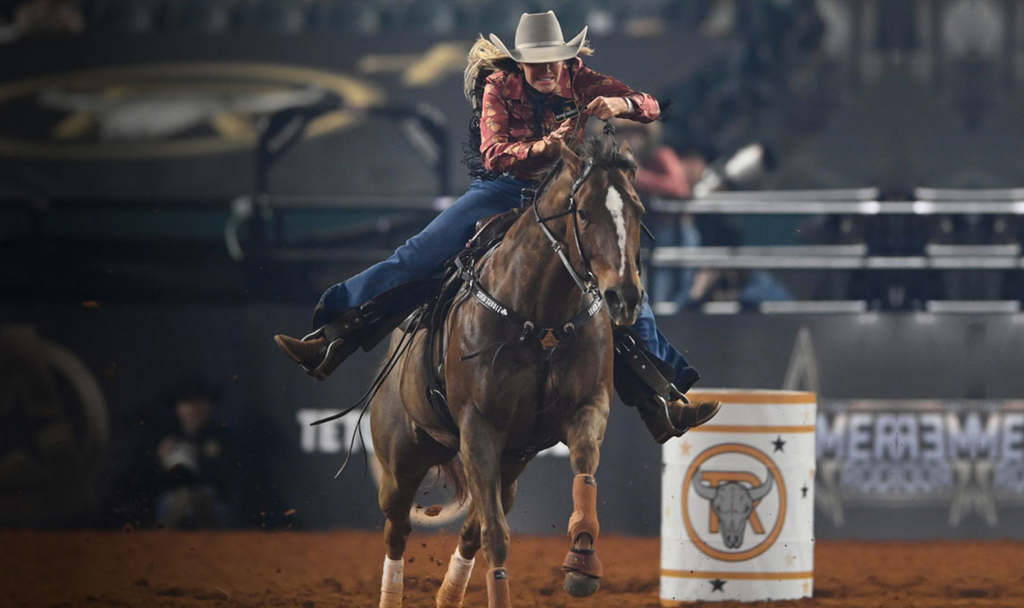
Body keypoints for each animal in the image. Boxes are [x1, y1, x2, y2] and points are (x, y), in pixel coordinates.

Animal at [368, 137, 638, 605]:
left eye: (637, 210)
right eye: (584, 212)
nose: (626, 297)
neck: (542, 319)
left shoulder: (588, 407)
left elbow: (584, 469)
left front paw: (582, 560)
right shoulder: (479, 429)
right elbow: (496, 537)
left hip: (509, 466)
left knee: (469, 530)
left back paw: (447, 596)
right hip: (402, 461)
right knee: (398, 530)